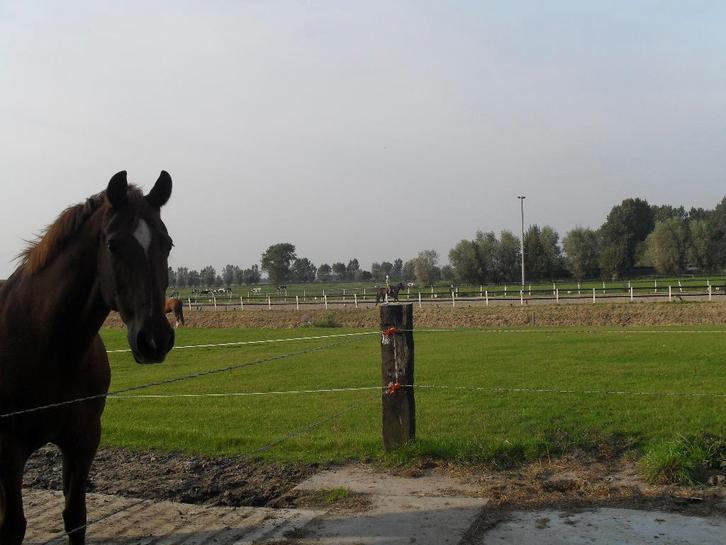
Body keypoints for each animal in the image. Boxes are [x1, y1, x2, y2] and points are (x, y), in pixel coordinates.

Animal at [0, 171, 175, 545]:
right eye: (113, 245)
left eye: (167, 244)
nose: (155, 339)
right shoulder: (8, 448)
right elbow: (13, 526)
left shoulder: (83, 440)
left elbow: (76, 517)